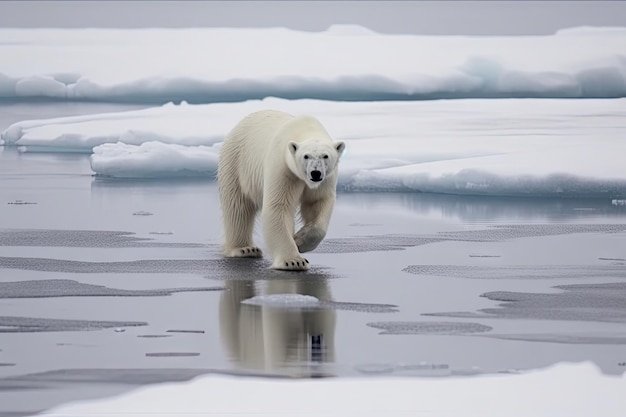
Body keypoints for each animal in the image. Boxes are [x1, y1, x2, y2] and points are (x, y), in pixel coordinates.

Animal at [217, 109, 344, 270]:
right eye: (306, 156)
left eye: (325, 156)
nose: (315, 173)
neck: (306, 128)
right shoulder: (283, 167)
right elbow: (278, 206)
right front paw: (294, 261)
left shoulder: (326, 179)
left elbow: (317, 203)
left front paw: (298, 241)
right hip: (236, 162)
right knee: (238, 207)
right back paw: (245, 249)